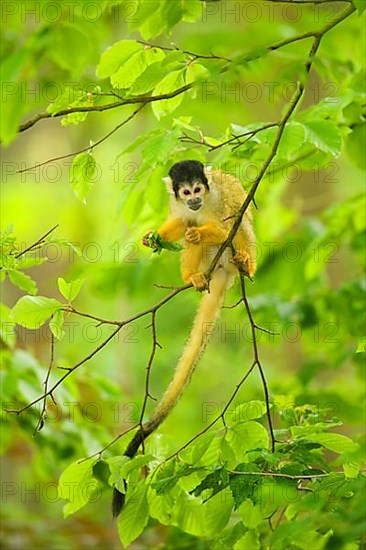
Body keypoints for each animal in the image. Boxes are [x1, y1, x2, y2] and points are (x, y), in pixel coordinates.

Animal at [113, 160, 256, 516]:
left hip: (232, 253)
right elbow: (180, 222)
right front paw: (156, 237)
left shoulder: (219, 201)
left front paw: (202, 231)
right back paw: (192, 275)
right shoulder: (179, 207)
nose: (193, 200)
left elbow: (230, 224)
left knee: (241, 229)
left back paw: (244, 261)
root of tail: (223, 271)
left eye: (199, 189)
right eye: (186, 191)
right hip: (209, 263)